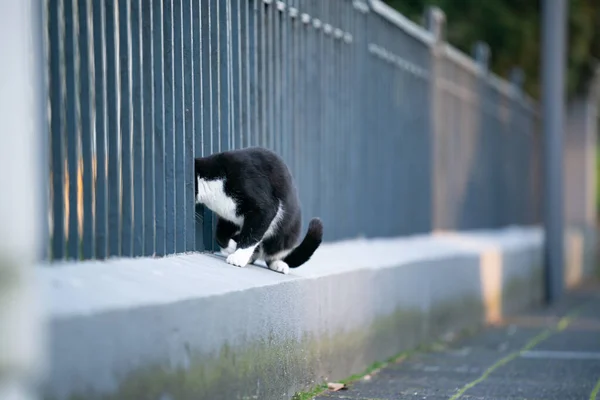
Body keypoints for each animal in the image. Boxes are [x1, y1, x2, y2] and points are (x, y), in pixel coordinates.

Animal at [195, 147, 324, 276]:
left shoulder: (260, 202)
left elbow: (251, 233)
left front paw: (238, 256)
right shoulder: (228, 217)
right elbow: (220, 236)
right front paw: (233, 248)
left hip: (286, 233)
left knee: (273, 251)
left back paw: (278, 264)